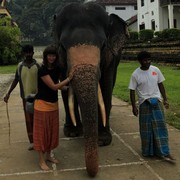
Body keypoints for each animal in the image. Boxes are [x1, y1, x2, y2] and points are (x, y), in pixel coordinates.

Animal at [52, 0, 129, 176]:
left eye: (103, 45)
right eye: (63, 47)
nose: (92, 173)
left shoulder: (111, 58)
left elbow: (106, 86)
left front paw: (103, 140)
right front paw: (73, 132)